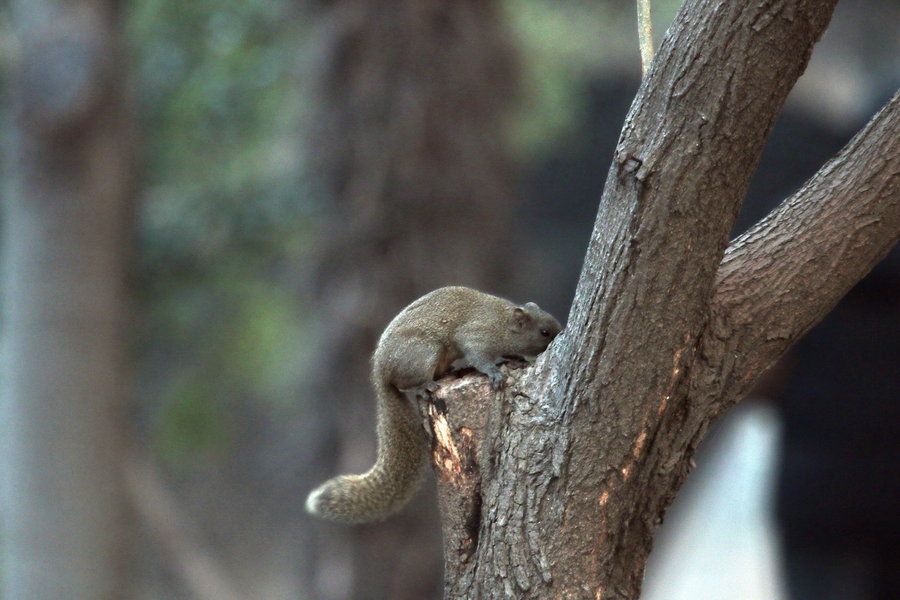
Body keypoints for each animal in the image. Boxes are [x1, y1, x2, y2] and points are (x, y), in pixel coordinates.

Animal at [310, 284, 564, 524]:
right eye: (544, 332)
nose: (558, 336)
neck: (503, 322)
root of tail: (381, 373)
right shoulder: (476, 335)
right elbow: (479, 357)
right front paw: (494, 371)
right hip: (423, 354)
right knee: (408, 384)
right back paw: (426, 386)